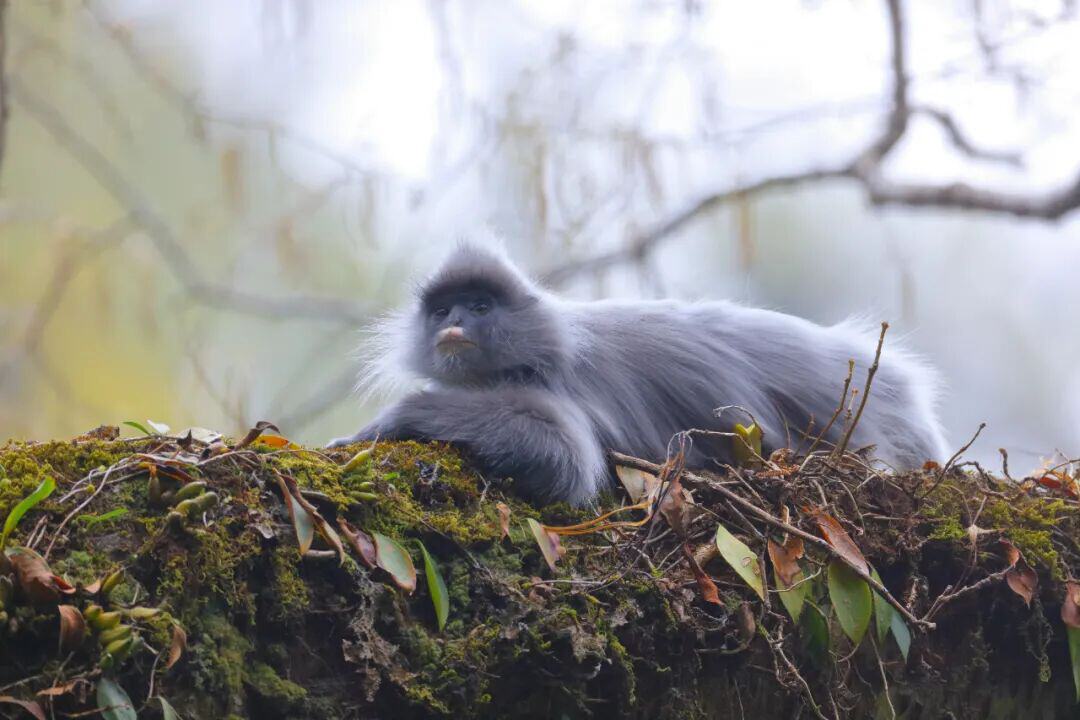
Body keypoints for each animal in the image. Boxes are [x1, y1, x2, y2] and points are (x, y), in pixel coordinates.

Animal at [328, 242, 947, 505]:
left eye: (479, 307)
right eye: (443, 310)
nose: (454, 322)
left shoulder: (553, 384)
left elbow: (566, 461)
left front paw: (387, 422)